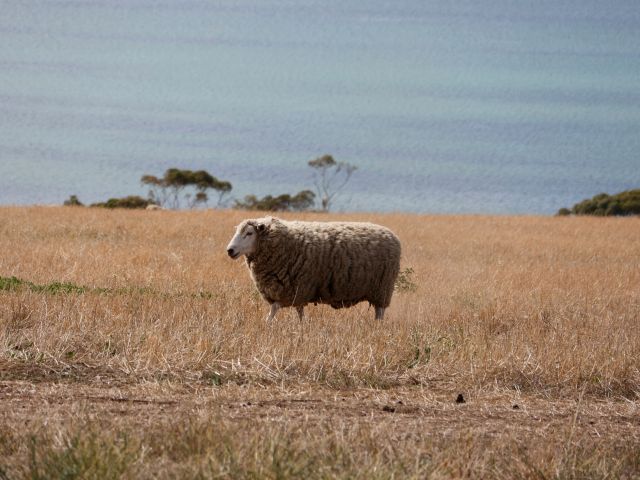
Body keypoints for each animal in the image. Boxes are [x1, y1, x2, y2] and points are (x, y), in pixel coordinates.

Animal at [226, 216, 401, 321]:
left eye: (249, 233)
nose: (230, 250)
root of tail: (392, 234)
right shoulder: (294, 290)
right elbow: (297, 311)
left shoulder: (296, 288)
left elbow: (275, 310)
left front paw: (267, 325)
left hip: (382, 289)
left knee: (380, 313)